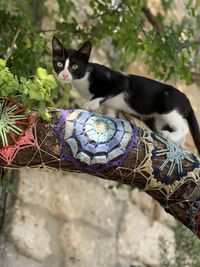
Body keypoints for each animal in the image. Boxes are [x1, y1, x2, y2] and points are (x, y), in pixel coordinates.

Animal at [52, 37, 200, 155]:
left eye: (75, 66)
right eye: (59, 64)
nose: (65, 75)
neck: (83, 79)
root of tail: (187, 100)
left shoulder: (119, 81)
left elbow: (105, 92)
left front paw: (90, 104)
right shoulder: (110, 106)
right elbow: (111, 114)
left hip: (168, 108)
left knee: (184, 127)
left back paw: (170, 135)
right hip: (157, 121)